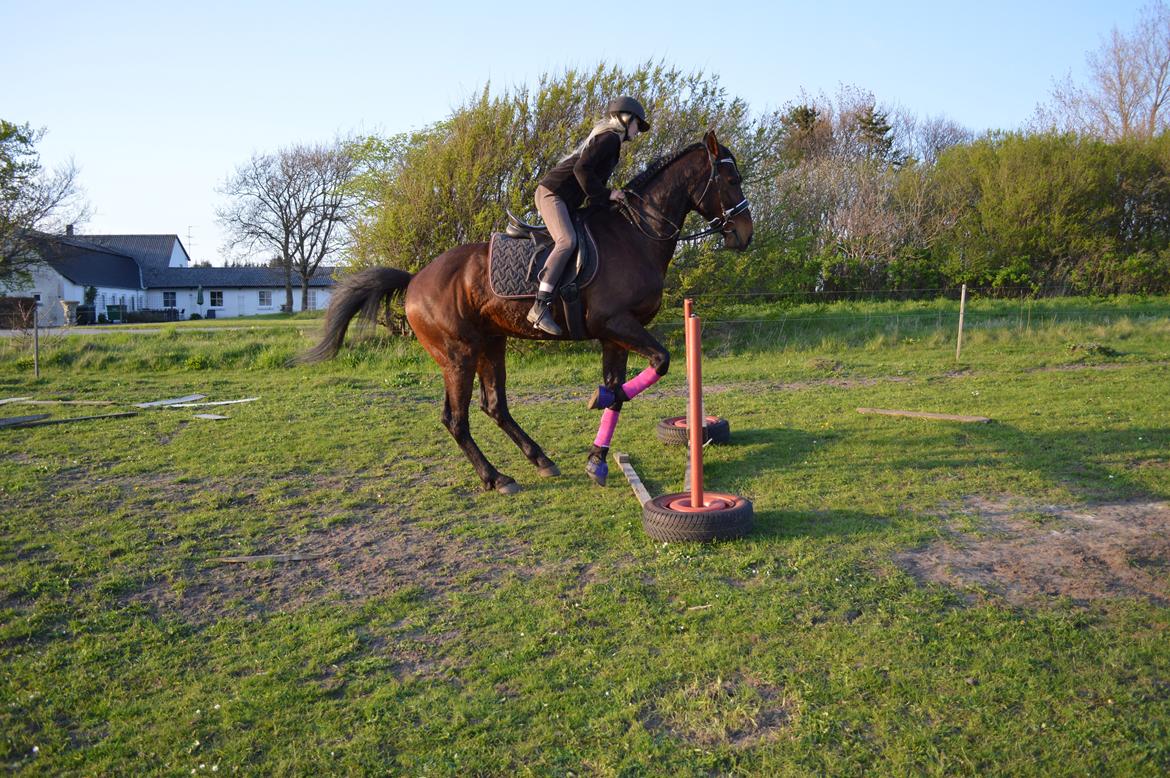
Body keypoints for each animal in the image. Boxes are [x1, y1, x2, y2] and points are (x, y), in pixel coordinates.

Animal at [301, 127, 753, 491]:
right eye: (731, 179)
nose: (744, 234)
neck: (637, 233)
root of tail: (414, 280)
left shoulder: (615, 334)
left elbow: (620, 394)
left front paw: (597, 456)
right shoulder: (617, 323)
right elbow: (660, 362)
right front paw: (598, 404)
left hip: (490, 344)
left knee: (494, 407)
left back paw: (540, 459)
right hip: (458, 354)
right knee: (457, 419)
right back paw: (496, 478)